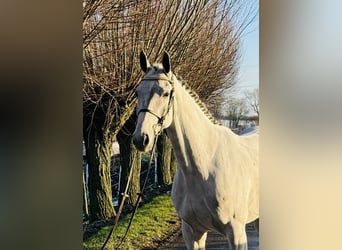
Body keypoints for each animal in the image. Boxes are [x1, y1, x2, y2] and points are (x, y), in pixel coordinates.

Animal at [132, 51, 258, 249]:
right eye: (138, 92)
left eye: (165, 93)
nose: (141, 139)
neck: (203, 166)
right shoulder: (192, 232)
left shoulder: (236, 234)